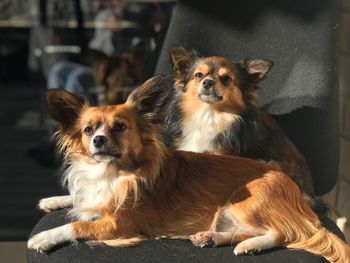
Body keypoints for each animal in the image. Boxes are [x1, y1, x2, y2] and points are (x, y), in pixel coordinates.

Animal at [28, 76, 350, 262]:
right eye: (87, 130)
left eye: (119, 127)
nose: (98, 140)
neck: (113, 173)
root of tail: (297, 193)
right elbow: (80, 199)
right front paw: (53, 200)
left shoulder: (118, 225)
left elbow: (77, 225)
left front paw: (44, 237)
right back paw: (212, 238)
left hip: (243, 203)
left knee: (283, 233)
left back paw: (251, 246)